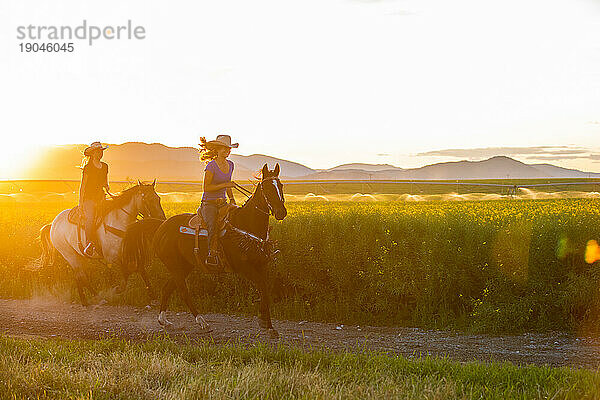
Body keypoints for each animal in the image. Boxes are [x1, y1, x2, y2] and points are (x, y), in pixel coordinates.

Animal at [145, 164, 286, 336]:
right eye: (267, 188)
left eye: (280, 185)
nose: (281, 212)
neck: (246, 223)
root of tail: (161, 227)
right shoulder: (244, 267)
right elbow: (262, 287)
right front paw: (267, 323)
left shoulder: (261, 265)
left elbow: (264, 289)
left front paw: (267, 323)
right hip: (175, 266)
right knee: (183, 292)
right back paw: (202, 322)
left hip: (183, 266)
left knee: (167, 289)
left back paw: (164, 320)